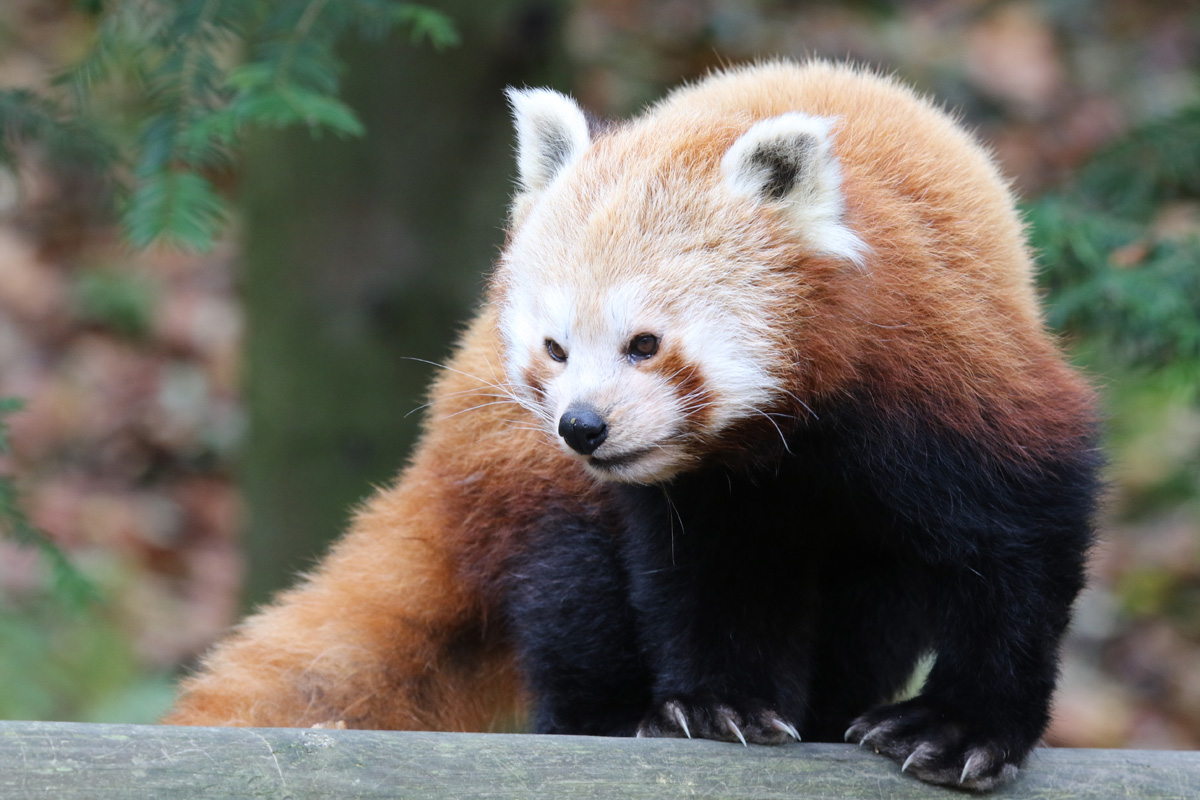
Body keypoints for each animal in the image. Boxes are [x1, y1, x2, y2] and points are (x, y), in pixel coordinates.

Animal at [166, 60, 1101, 790]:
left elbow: (1021, 545)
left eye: (644, 343)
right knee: (574, 593)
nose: (581, 426)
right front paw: (717, 703)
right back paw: (617, 714)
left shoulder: (952, 381)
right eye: (554, 347)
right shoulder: (702, 493)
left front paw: (959, 728)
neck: (786, 435)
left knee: (874, 606)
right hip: (524, 477)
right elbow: (704, 575)